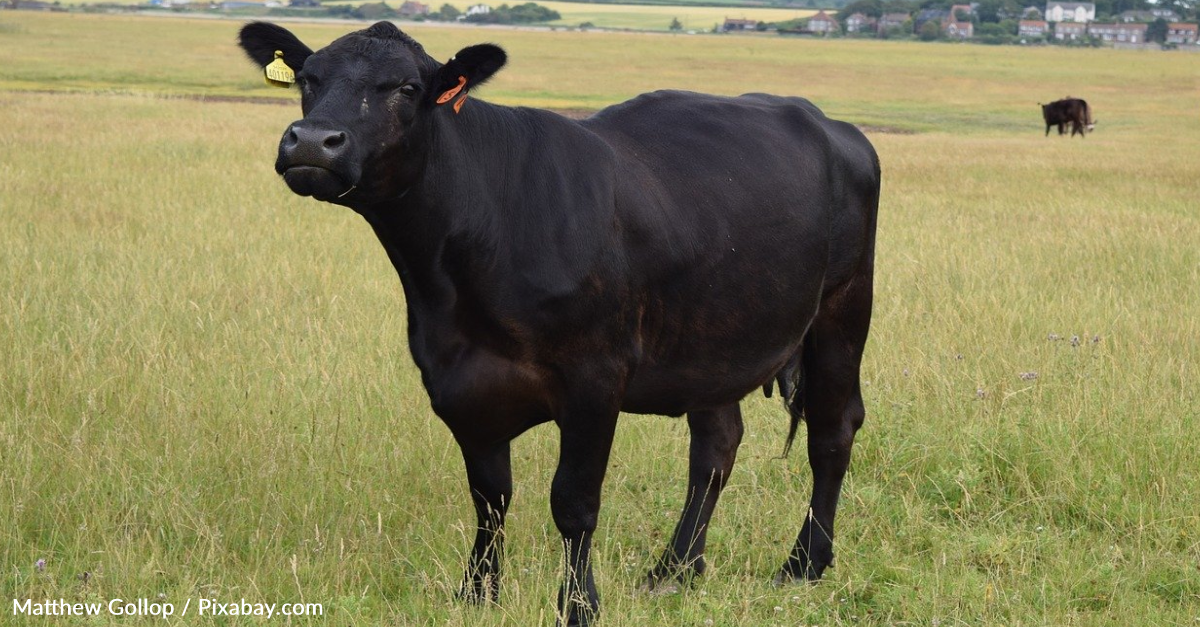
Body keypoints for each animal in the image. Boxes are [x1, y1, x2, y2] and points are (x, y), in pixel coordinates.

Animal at [238, 20, 883, 624]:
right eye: (308, 78)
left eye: (406, 88)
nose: (313, 141)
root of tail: (834, 126)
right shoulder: (458, 381)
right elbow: (490, 497)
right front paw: (477, 593)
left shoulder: (594, 377)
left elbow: (573, 502)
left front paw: (578, 605)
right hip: (714, 339)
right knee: (716, 446)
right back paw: (675, 570)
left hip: (843, 310)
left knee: (833, 432)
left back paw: (803, 565)